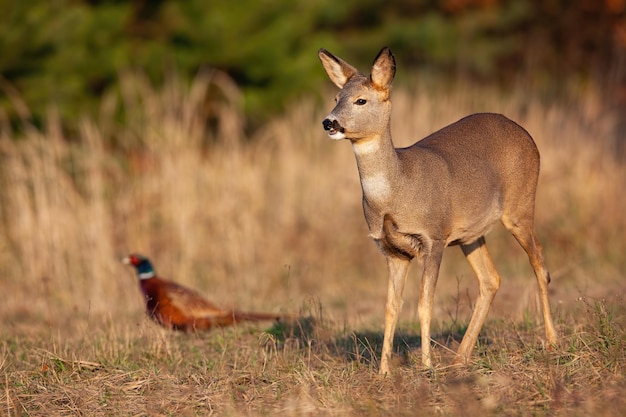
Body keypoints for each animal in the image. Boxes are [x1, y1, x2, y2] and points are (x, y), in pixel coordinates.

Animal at [320, 46, 552, 374]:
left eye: (360, 100)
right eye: (336, 98)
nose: (329, 122)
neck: (397, 189)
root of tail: (525, 133)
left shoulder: (434, 237)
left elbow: (424, 304)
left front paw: (427, 365)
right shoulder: (392, 251)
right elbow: (391, 307)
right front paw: (383, 372)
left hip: (520, 205)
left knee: (539, 263)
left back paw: (552, 342)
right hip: (471, 234)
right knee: (491, 279)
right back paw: (459, 358)